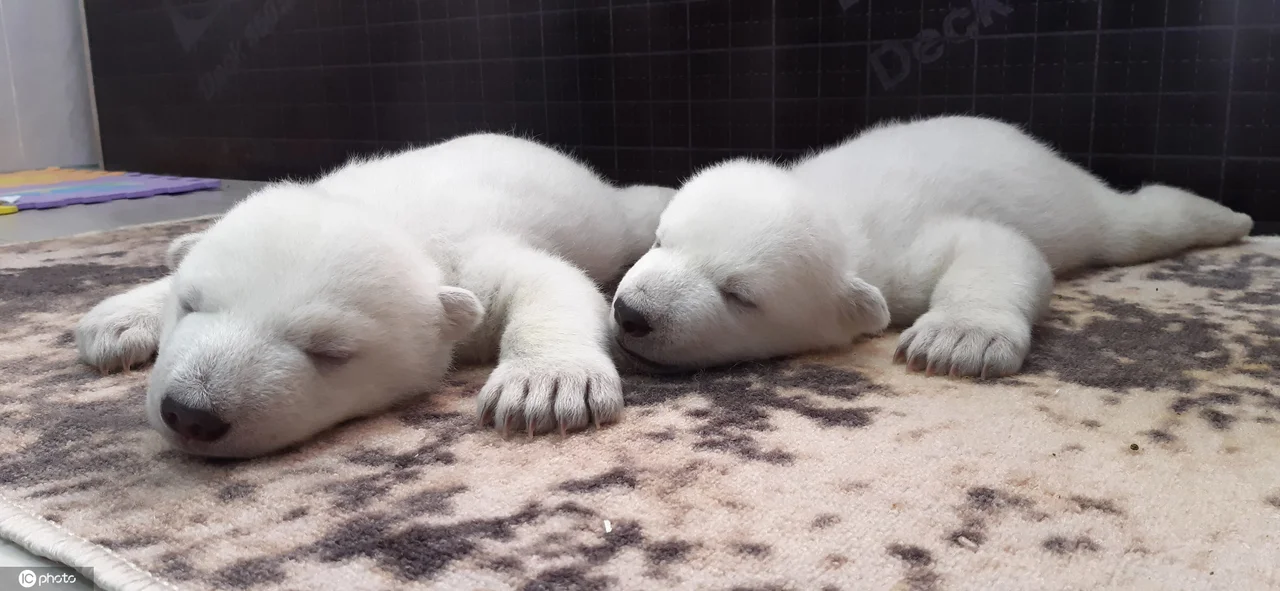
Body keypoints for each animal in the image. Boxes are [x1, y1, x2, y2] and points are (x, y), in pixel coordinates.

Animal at [75, 133, 674, 458]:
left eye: (329, 351)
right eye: (191, 305)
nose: (191, 414)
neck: (388, 213)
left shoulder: (466, 256)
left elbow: (551, 282)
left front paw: (543, 388)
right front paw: (116, 321)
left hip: (599, 216)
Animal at [610, 115, 1253, 378]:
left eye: (739, 294)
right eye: (663, 240)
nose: (632, 314)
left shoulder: (900, 254)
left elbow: (997, 246)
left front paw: (959, 339)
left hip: (1073, 205)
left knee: (1133, 226)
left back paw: (1230, 218)